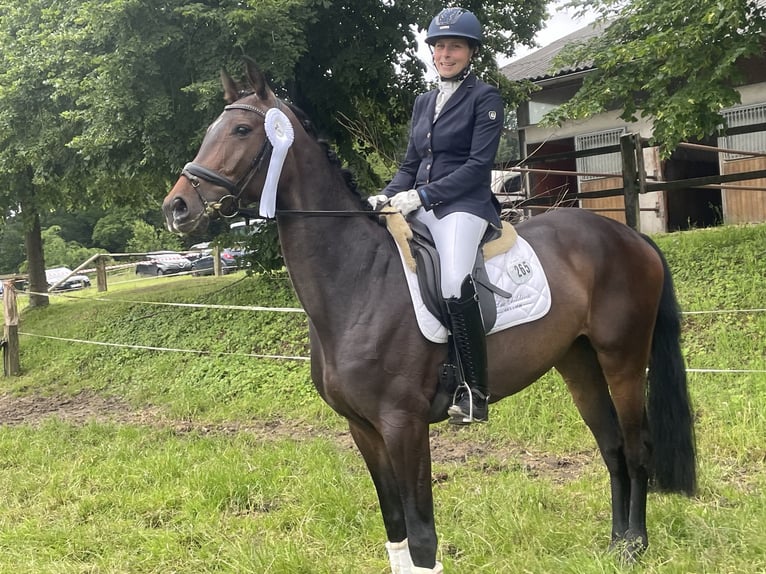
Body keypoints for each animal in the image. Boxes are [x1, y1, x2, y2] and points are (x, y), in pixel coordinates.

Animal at [165, 60, 700, 572]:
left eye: (241, 130)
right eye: (212, 129)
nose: (177, 208)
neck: (359, 281)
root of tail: (630, 236)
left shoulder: (403, 424)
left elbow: (422, 539)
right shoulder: (363, 428)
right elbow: (396, 529)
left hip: (623, 359)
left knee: (636, 448)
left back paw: (635, 547)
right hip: (578, 362)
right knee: (611, 448)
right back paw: (615, 543)